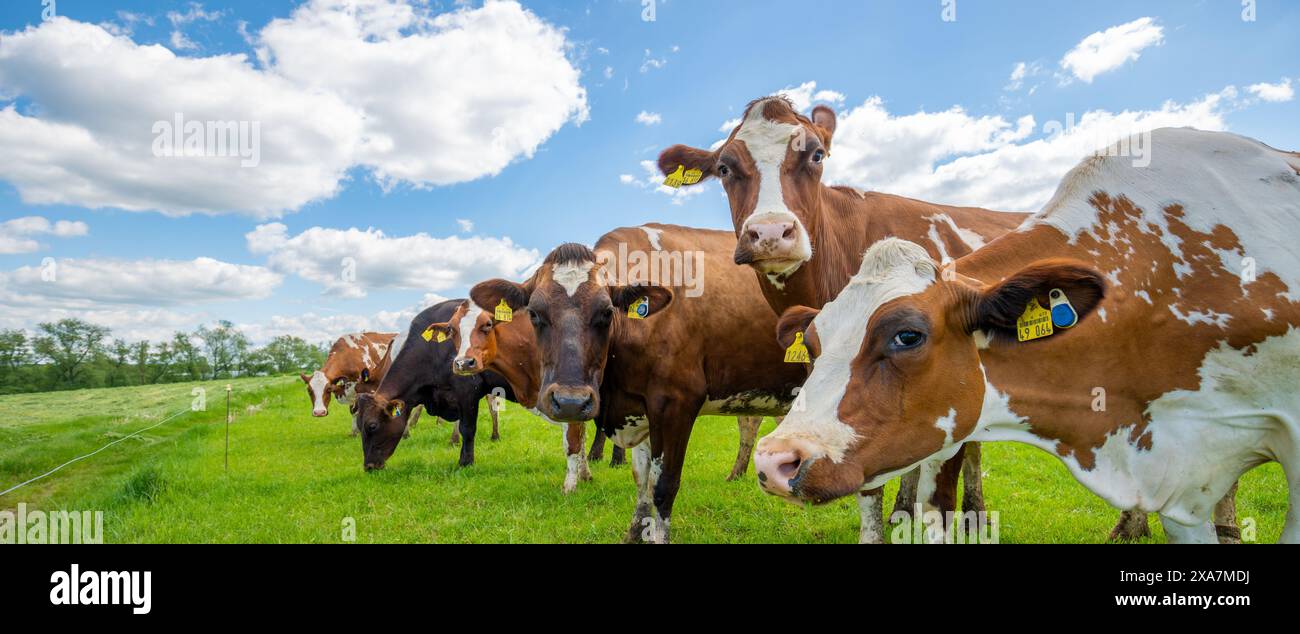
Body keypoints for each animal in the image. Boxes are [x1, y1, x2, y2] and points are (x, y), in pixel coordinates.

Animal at [354, 300, 514, 471]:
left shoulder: (467, 391)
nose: (368, 466)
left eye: (372, 426)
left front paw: (464, 461)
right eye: (359, 425)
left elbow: (467, 428)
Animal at [429, 299, 766, 483]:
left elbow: (574, 437)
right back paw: (738, 472)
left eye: (487, 324)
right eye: (453, 329)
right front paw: (586, 472)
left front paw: (580, 477)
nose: (463, 362)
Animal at [473, 225, 898, 543]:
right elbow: (642, 479)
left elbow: (663, 485)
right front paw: (635, 532)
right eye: (536, 314)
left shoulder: (675, 404)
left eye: (606, 313)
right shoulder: (641, 410)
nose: (572, 403)